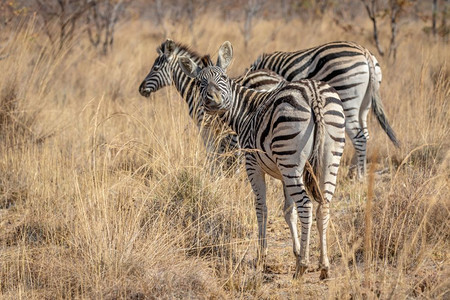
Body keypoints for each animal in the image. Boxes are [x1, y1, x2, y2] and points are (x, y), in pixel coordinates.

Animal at [139, 38, 284, 172]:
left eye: (155, 68)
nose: (141, 88)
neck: (193, 91)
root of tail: (277, 78)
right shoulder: (219, 129)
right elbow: (220, 155)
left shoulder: (205, 125)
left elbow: (213, 154)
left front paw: (214, 175)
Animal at [178, 41, 346, 280]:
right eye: (200, 82)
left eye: (222, 78)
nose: (213, 100)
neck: (246, 111)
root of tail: (313, 93)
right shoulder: (284, 174)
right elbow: (288, 210)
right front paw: (296, 250)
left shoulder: (252, 164)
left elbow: (261, 207)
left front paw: (262, 256)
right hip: (329, 156)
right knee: (324, 206)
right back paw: (324, 266)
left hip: (291, 156)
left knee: (306, 205)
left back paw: (302, 266)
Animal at [250, 41, 400, 179]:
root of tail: (365, 52)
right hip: (365, 104)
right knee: (365, 134)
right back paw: (353, 171)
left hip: (346, 98)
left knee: (359, 137)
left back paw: (359, 175)